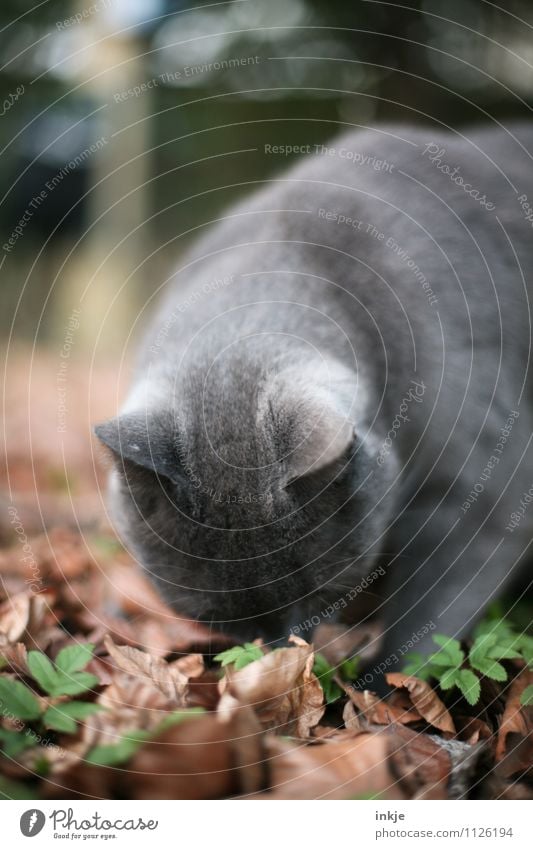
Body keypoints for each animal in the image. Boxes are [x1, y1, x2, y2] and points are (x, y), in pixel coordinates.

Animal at [95, 124, 532, 684]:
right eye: (218, 618)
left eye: (318, 595)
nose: (278, 654)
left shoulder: (480, 491)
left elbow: (427, 624)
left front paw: (380, 689)